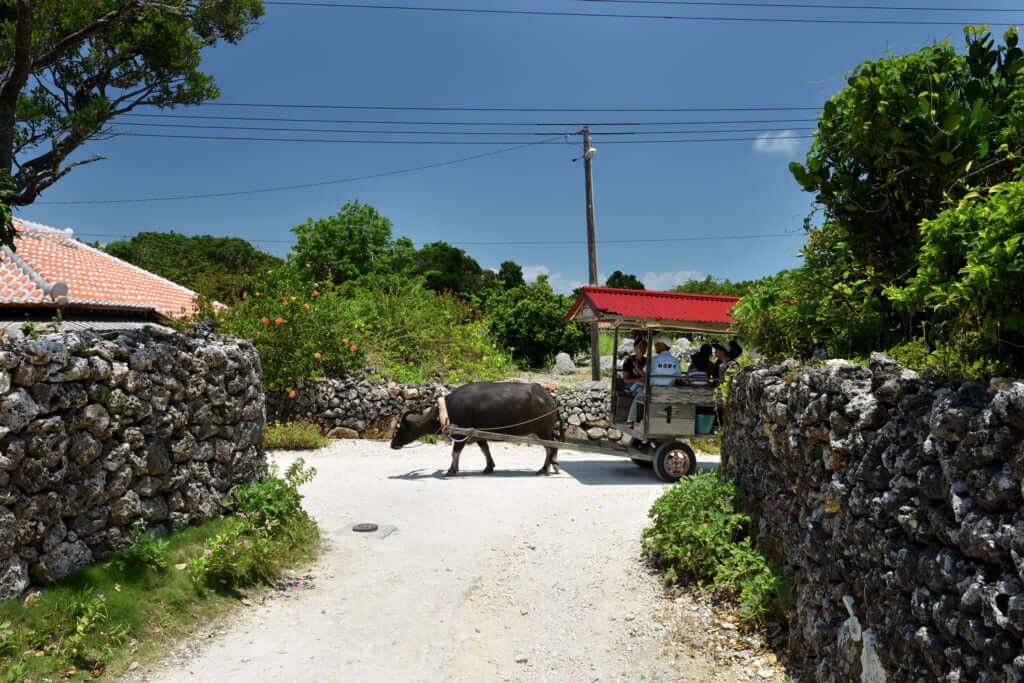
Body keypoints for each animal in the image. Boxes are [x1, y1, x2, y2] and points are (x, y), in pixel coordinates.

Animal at [391, 385, 565, 475]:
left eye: (402, 426)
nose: (393, 444)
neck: (444, 413)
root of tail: (550, 398)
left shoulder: (459, 434)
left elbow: (455, 452)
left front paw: (451, 469)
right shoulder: (478, 434)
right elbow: (485, 449)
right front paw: (489, 467)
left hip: (543, 431)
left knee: (551, 447)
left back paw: (545, 469)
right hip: (541, 432)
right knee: (551, 447)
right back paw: (551, 466)